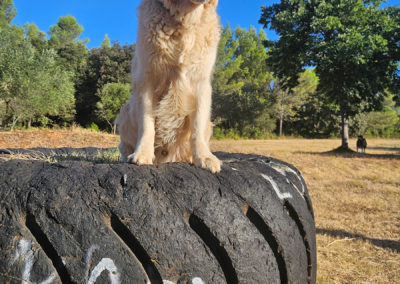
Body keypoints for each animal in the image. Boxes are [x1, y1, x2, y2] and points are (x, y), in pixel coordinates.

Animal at [115, 0, 222, 173]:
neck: (184, 18)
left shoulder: (201, 81)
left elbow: (197, 127)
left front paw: (204, 158)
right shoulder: (147, 78)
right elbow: (147, 124)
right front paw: (142, 154)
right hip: (125, 111)